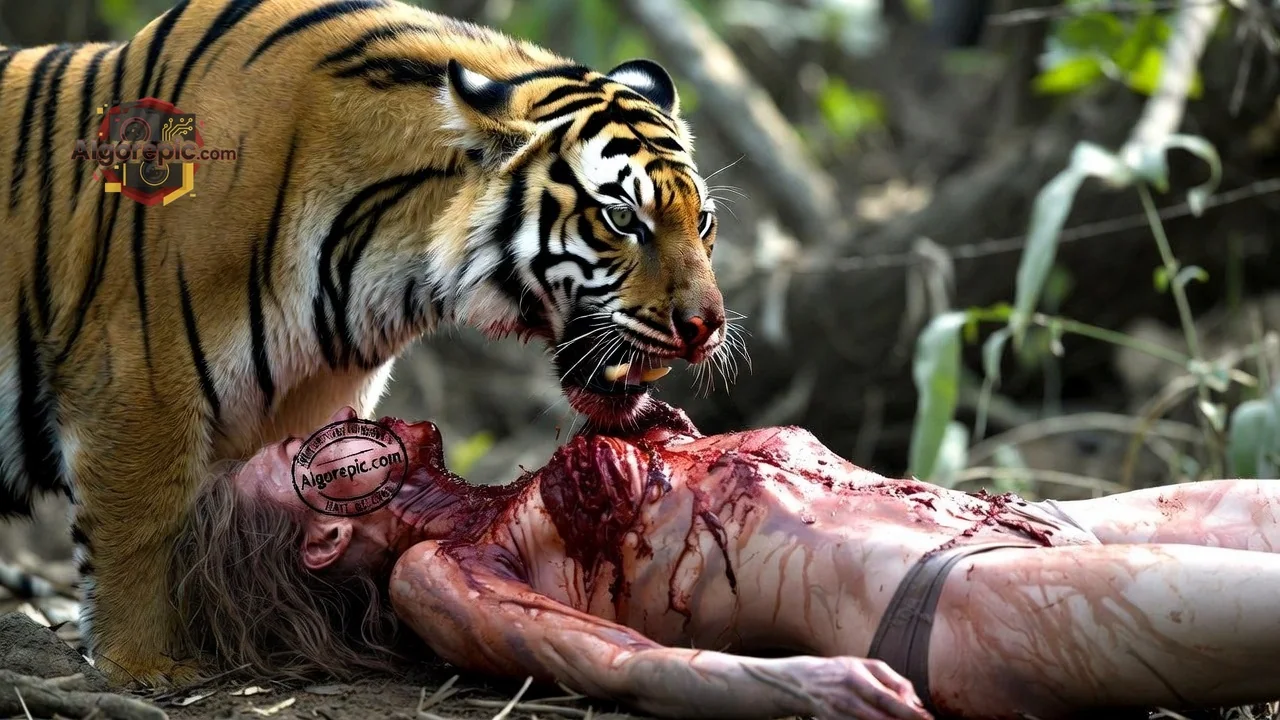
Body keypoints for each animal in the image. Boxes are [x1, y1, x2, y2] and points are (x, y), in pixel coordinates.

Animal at [0, 0, 728, 686]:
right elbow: (139, 527)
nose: (708, 326)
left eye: (703, 221)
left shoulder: (307, 401)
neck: (383, 268)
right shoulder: (138, 377)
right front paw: (144, 666)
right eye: (622, 219)